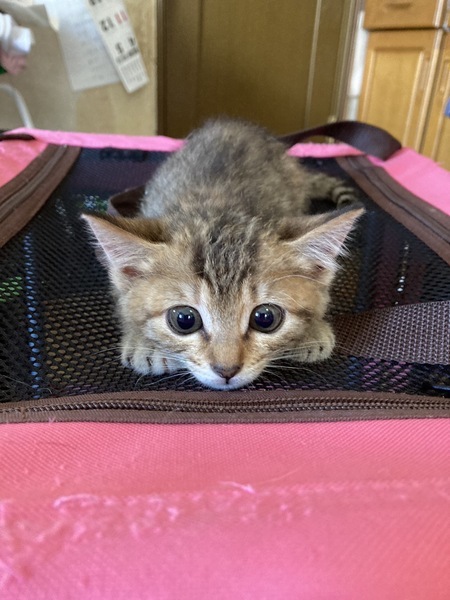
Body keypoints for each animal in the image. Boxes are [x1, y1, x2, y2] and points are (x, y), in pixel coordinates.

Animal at [83, 118, 363, 390]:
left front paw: (312, 331)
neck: (220, 208)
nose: (226, 370)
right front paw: (143, 342)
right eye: (184, 320)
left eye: (265, 318)